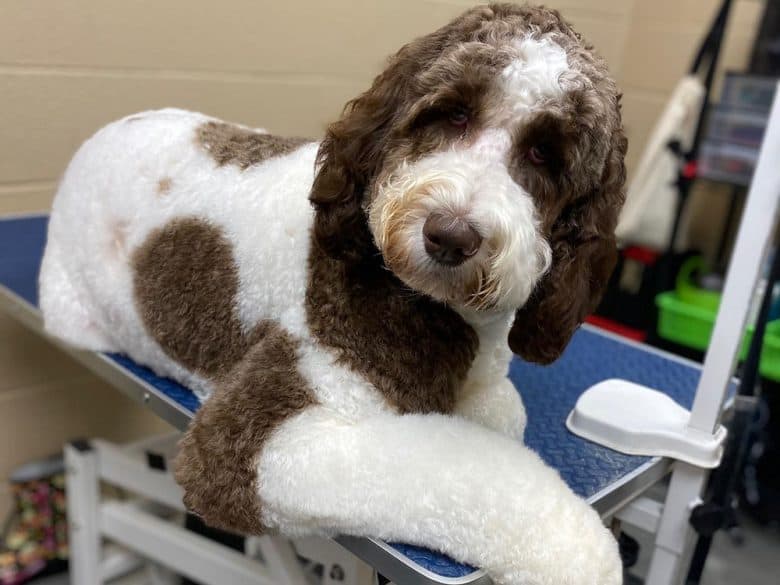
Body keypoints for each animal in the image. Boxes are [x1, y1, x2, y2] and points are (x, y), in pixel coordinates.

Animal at [41, 4, 628, 584]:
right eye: (452, 114)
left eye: (544, 154)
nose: (449, 235)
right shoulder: (254, 437)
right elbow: (468, 474)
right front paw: (579, 552)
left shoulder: (486, 387)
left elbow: (502, 417)